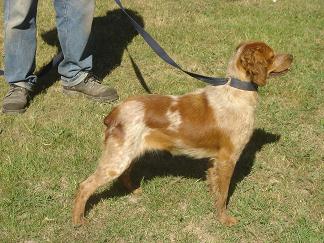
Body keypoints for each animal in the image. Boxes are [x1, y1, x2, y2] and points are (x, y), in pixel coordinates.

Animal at [72, 41, 292, 226]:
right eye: (272, 56)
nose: (292, 56)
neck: (237, 92)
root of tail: (115, 112)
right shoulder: (228, 158)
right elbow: (223, 194)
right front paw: (224, 219)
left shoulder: (216, 161)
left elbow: (215, 188)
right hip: (117, 159)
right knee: (85, 185)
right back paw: (78, 221)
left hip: (127, 154)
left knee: (123, 175)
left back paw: (135, 190)